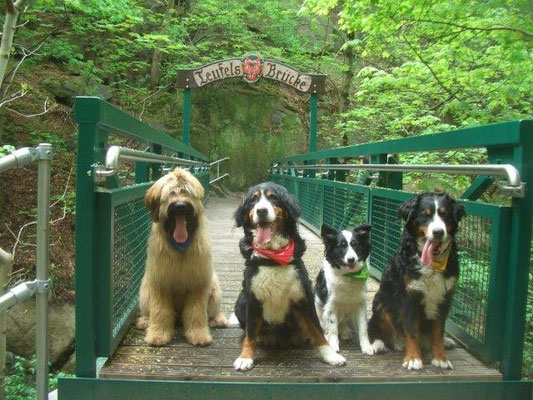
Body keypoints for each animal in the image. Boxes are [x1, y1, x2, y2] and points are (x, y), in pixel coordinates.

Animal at [136, 167, 225, 346]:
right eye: (171, 193)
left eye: (187, 192)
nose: (180, 206)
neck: (180, 247)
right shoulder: (160, 282)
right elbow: (160, 311)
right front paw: (158, 335)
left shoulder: (198, 283)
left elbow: (197, 312)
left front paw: (199, 335)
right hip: (145, 290)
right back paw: (145, 321)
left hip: (214, 287)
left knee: (212, 310)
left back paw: (217, 319)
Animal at [231, 183, 348, 370]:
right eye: (253, 200)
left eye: (273, 197)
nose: (261, 210)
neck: (273, 258)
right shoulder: (252, 299)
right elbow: (250, 333)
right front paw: (245, 357)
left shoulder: (304, 296)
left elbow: (318, 330)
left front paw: (330, 355)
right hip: (240, 301)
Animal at [314, 225, 372, 354]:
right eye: (341, 245)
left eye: (355, 244)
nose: (351, 259)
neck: (348, 276)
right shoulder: (331, 304)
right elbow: (333, 328)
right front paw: (333, 345)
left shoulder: (360, 303)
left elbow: (363, 327)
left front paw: (366, 347)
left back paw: (345, 332)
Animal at [368, 192, 464, 370]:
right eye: (425, 215)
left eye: (444, 214)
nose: (438, 232)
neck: (432, 263)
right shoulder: (409, 296)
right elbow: (412, 330)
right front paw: (413, 359)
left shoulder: (445, 297)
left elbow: (439, 331)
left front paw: (440, 357)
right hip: (382, 303)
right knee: (375, 328)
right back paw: (378, 344)